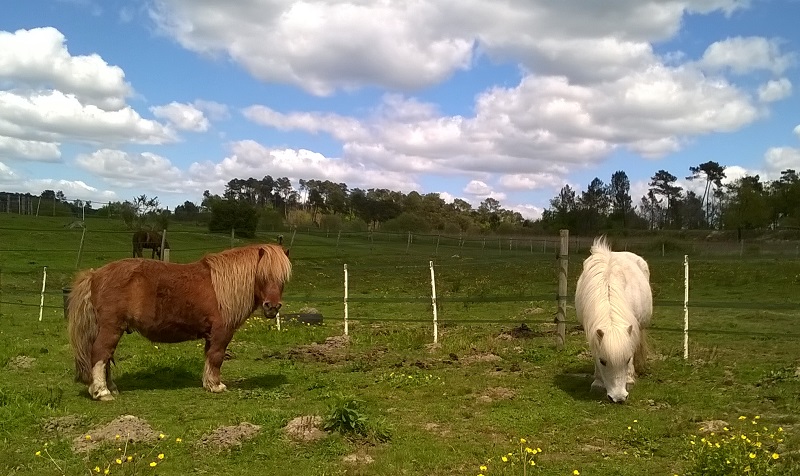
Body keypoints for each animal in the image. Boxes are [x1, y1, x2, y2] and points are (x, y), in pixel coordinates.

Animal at [66, 244, 290, 400]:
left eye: (283, 279)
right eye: (262, 275)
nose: (272, 307)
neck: (221, 287)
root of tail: (95, 275)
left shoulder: (211, 335)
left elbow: (209, 358)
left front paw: (208, 383)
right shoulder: (221, 332)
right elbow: (217, 357)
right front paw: (216, 386)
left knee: (106, 358)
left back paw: (110, 388)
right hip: (111, 328)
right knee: (100, 354)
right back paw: (102, 392)